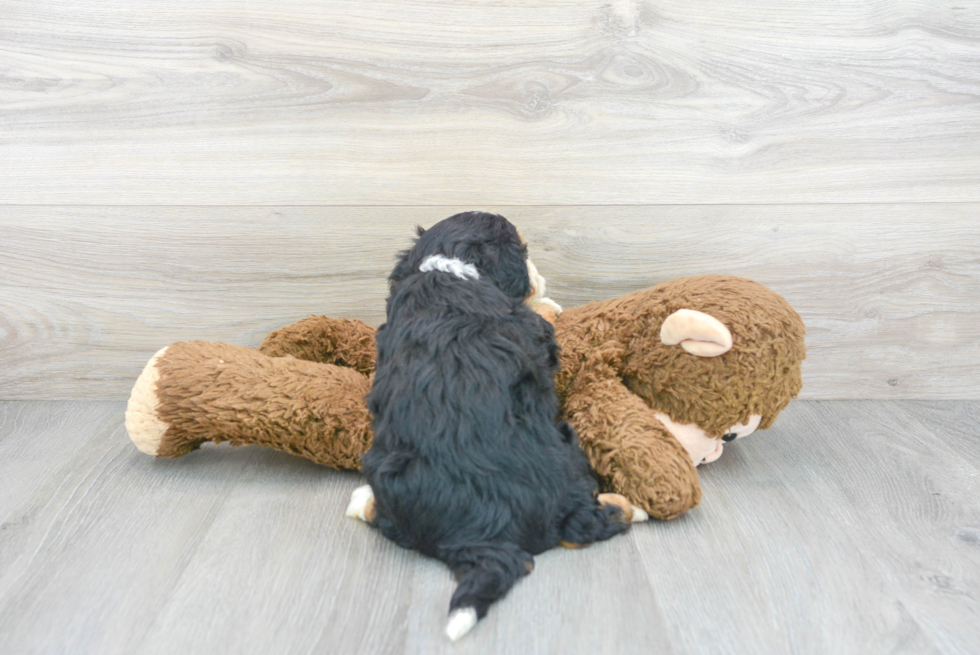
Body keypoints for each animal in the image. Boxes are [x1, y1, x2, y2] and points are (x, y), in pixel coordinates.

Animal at [348, 211, 640, 640]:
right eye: (525, 251)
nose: (539, 276)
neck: (450, 265)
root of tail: (483, 530)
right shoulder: (534, 332)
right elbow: (542, 322)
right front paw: (548, 303)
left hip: (387, 473)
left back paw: (361, 501)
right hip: (566, 451)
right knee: (584, 524)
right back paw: (627, 508)